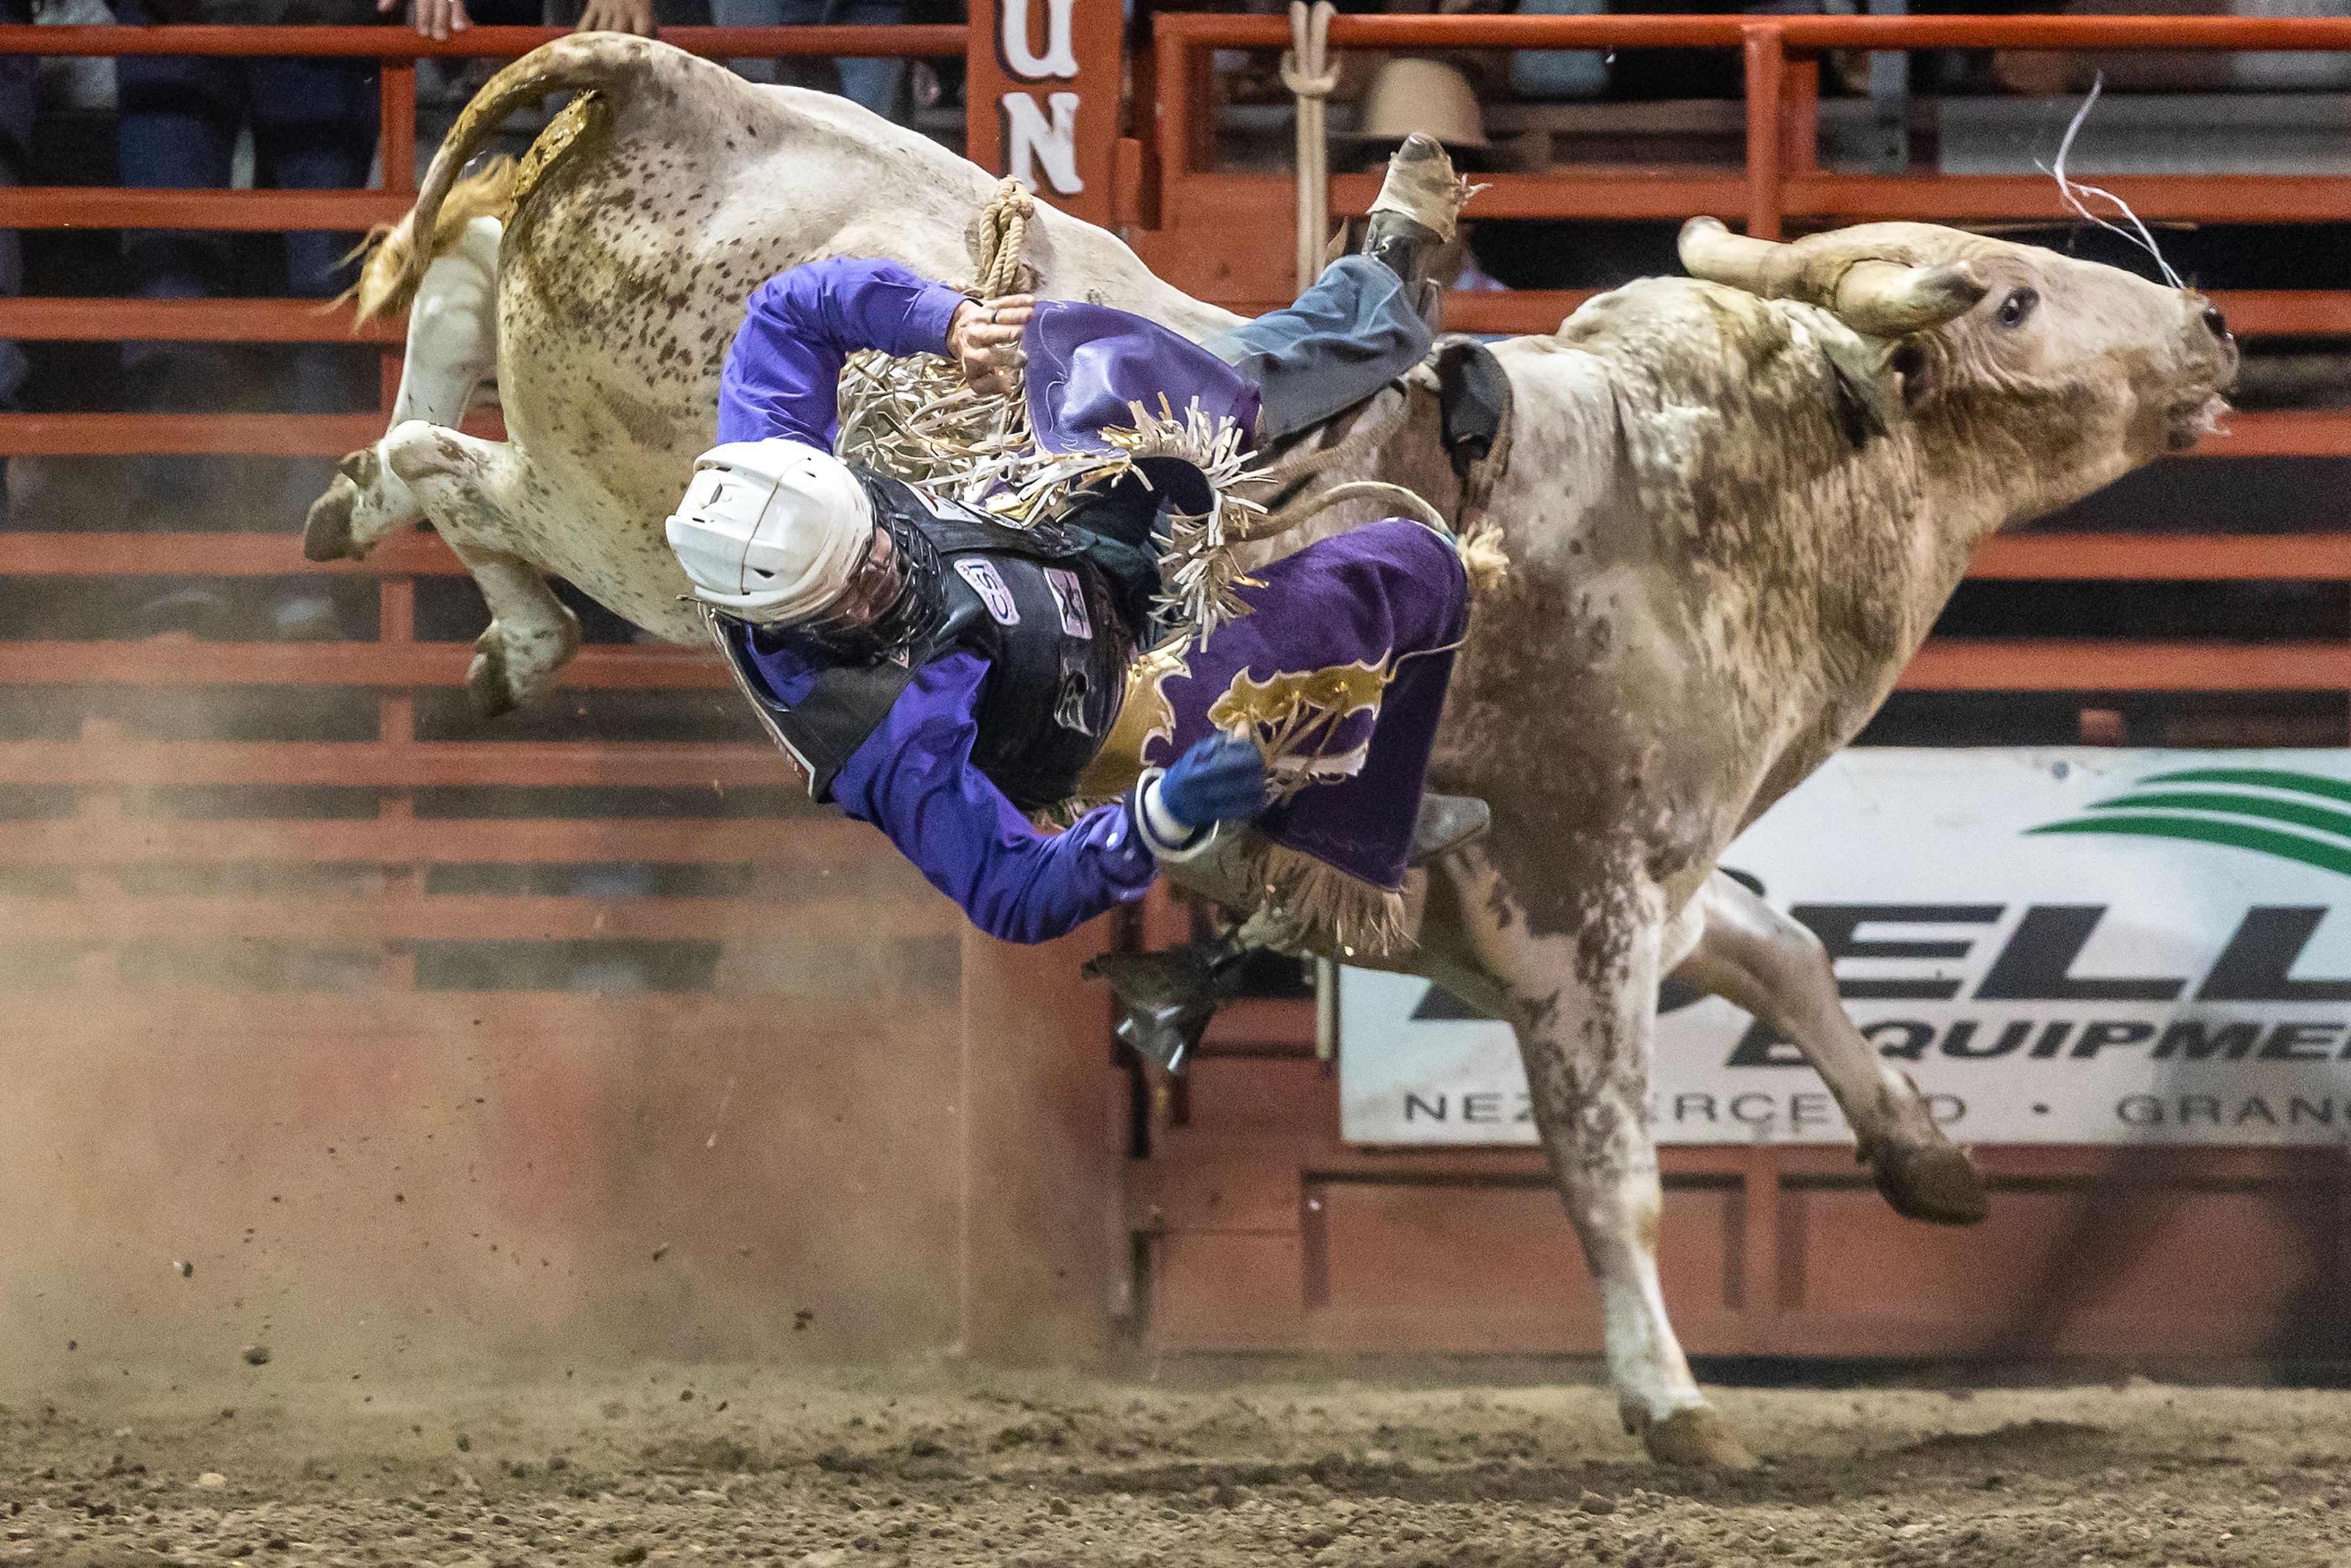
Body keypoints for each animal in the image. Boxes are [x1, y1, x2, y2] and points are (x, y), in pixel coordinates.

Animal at [303, 34, 2229, 1476]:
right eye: (2007, 299)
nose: (2209, 325)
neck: (1690, 495)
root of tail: (677, 82)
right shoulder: (1574, 909)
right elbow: (1615, 1164)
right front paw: (1677, 1406)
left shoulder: (1638, 889)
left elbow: (1792, 955)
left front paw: (1929, 1160)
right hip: (632, 515)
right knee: (452, 454)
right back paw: (477, 594)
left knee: (445, 339)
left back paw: (442, 578)